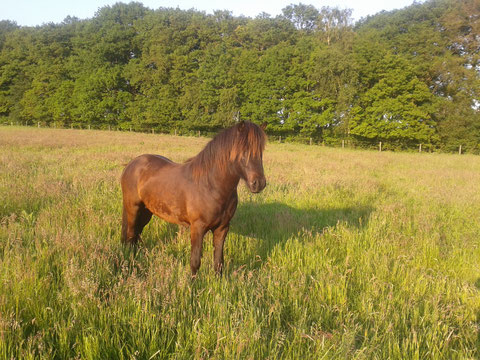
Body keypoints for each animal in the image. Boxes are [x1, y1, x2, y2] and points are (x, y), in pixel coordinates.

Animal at [121, 121, 266, 276]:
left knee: (136, 235)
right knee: (131, 235)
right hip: (133, 209)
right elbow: (195, 261)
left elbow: (218, 261)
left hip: (146, 211)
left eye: (261, 151)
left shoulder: (222, 228)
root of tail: (131, 164)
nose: (259, 183)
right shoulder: (197, 228)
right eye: (243, 151)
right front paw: (193, 282)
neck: (210, 185)